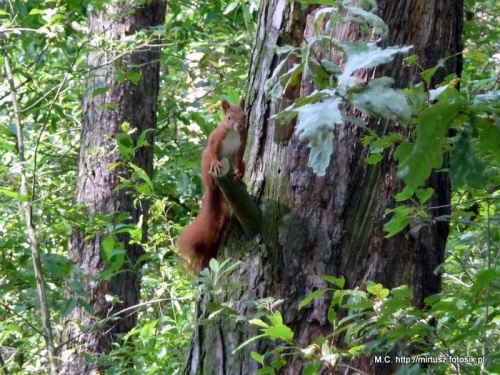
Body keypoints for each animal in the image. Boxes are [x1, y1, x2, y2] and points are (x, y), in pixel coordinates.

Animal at [177, 97, 247, 274]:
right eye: (228, 117)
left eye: (244, 116)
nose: (239, 126)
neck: (233, 133)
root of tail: (213, 190)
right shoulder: (216, 137)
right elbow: (214, 148)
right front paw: (216, 162)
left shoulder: (242, 141)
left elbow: (239, 156)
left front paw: (237, 173)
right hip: (206, 163)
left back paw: (241, 179)